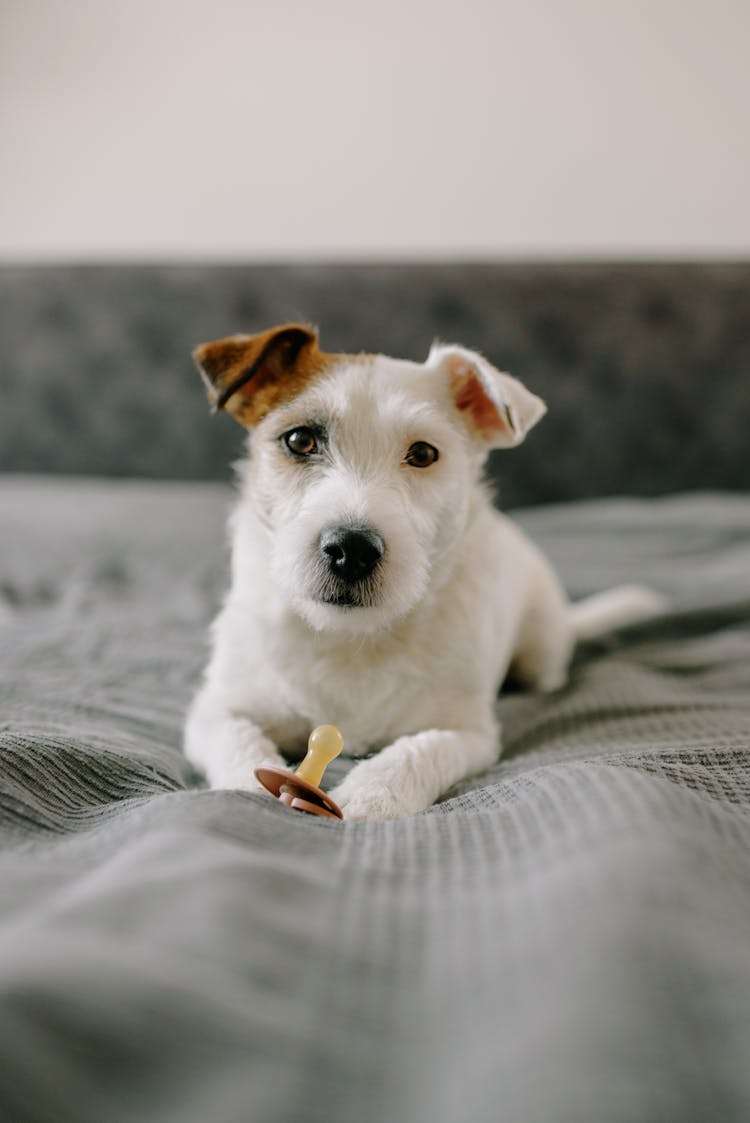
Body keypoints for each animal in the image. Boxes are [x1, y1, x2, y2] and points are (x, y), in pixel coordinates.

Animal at [184, 321, 664, 822]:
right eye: (299, 441)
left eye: (422, 453)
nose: (352, 549)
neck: (353, 639)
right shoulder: (216, 710)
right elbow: (237, 742)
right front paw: (252, 790)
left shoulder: (467, 733)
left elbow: (419, 751)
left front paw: (373, 794)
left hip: (542, 651)